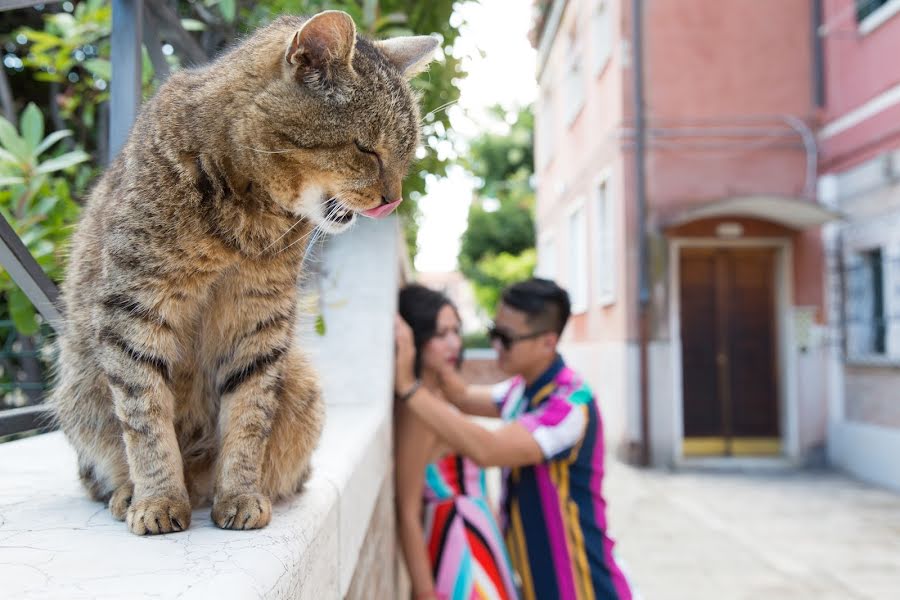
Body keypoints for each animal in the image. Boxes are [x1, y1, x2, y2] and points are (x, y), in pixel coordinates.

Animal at [52, 10, 440, 536]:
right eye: (366, 149)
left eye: (406, 155)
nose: (394, 200)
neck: (248, 218)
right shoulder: (136, 306)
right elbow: (145, 416)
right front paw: (157, 498)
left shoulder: (258, 319)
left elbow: (249, 415)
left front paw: (239, 494)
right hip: (81, 388)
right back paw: (130, 491)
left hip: (300, 382)